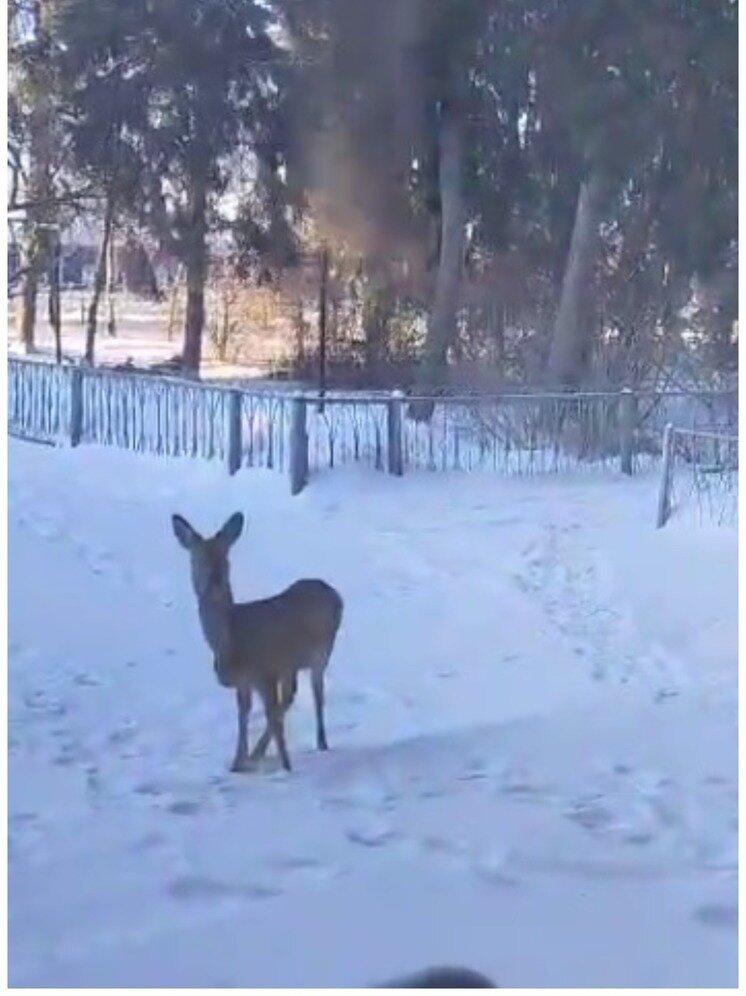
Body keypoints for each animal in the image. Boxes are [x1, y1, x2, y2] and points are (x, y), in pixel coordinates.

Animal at [171, 510, 342, 776]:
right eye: (196, 558)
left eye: (225, 557)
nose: (214, 580)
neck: (231, 638)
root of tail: (334, 592)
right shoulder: (247, 680)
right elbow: (244, 714)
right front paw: (238, 761)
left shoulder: (265, 671)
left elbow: (270, 713)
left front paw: (285, 766)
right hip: (291, 664)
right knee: (290, 696)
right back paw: (259, 753)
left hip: (321, 653)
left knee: (314, 695)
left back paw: (320, 743)